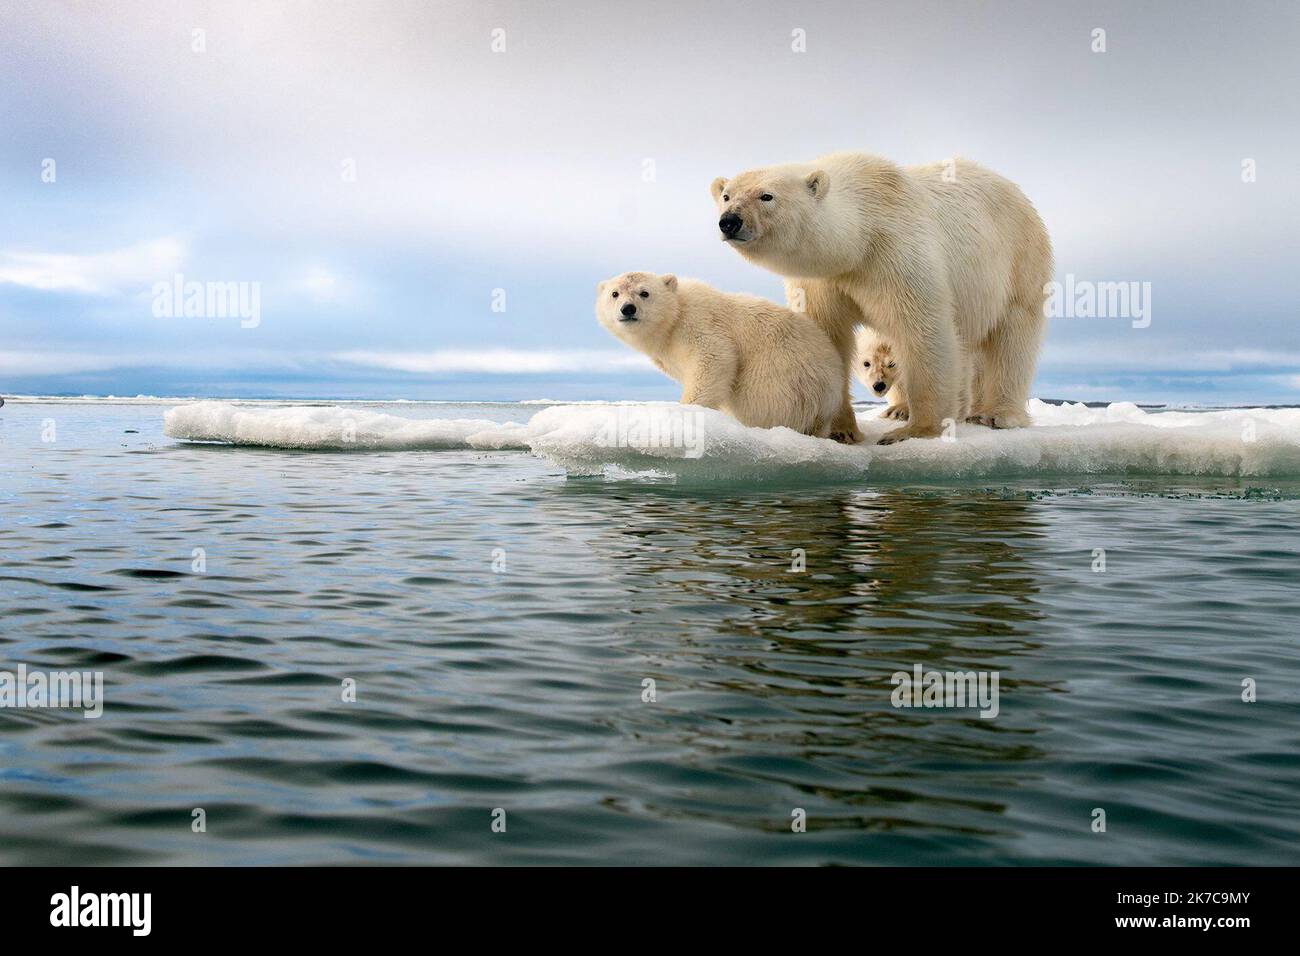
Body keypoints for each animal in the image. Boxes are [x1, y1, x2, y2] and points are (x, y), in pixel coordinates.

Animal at [595, 270, 842, 439]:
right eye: (615, 293)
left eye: (644, 292)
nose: (628, 308)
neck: (672, 322)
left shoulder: (698, 321)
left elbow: (713, 358)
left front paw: (686, 412)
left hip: (782, 378)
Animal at [707, 154, 1050, 444]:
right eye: (727, 196)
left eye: (767, 196)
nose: (730, 221)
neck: (858, 239)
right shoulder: (821, 281)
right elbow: (827, 339)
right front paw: (841, 430)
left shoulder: (895, 253)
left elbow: (923, 329)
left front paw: (915, 430)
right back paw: (908, 408)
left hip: (1019, 261)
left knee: (1012, 336)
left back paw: (998, 415)